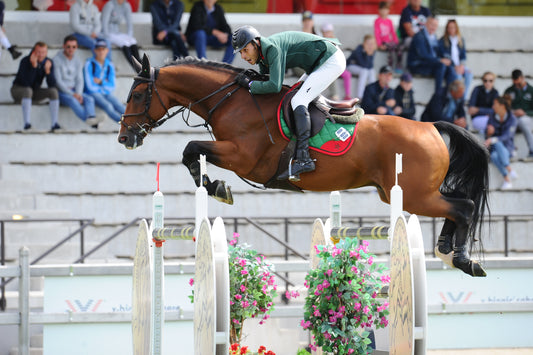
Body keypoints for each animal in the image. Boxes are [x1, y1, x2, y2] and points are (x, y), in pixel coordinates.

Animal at [118, 55, 488, 278]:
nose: (125, 137)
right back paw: (446, 252)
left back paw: (463, 260)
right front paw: (216, 186)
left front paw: (218, 188)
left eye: (136, 95)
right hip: (405, 193)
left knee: (464, 207)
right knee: (457, 206)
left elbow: (191, 148)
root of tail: (431, 127)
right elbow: (191, 153)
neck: (231, 101)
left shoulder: (242, 156)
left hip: (412, 195)